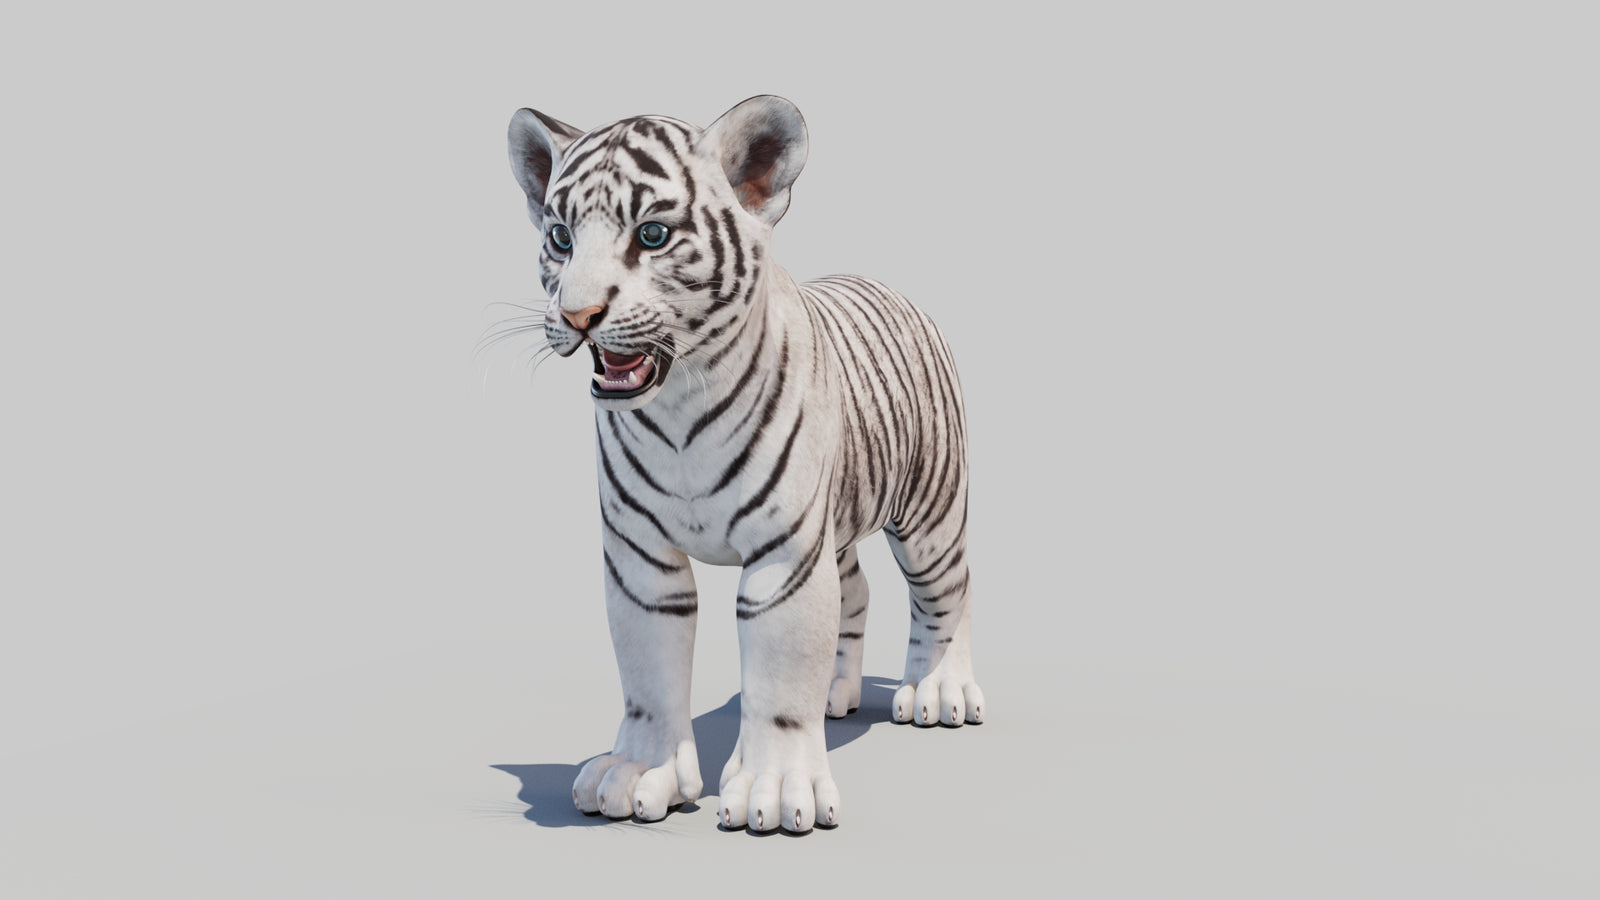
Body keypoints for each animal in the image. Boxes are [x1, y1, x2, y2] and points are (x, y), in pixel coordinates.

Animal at [506, 95, 984, 834]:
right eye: (560, 237)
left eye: (651, 235)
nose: (578, 315)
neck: (677, 410)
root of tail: (888, 284)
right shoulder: (642, 560)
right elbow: (647, 677)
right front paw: (639, 773)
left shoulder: (783, 556)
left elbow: (781, 674)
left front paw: (777, 790)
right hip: (836, 527)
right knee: (856, 591)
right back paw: (837, 693)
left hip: (930, 512)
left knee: (947, 594)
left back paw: (939, 691)